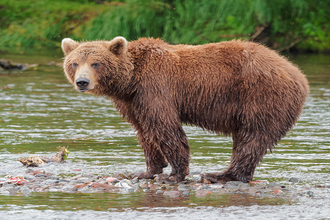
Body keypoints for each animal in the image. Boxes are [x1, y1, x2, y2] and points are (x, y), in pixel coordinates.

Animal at [61, 36, 310, 184]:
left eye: (96, 63)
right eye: (74, 63)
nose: (82, 82)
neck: (130, 81)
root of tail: (298, 74)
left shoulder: (155, 88)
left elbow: (165, 128)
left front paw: (174, 174)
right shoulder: (133, 102)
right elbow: (144, 132)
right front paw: (148, 170)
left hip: (262, 96)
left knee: (252, 137)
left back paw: (222, 174)